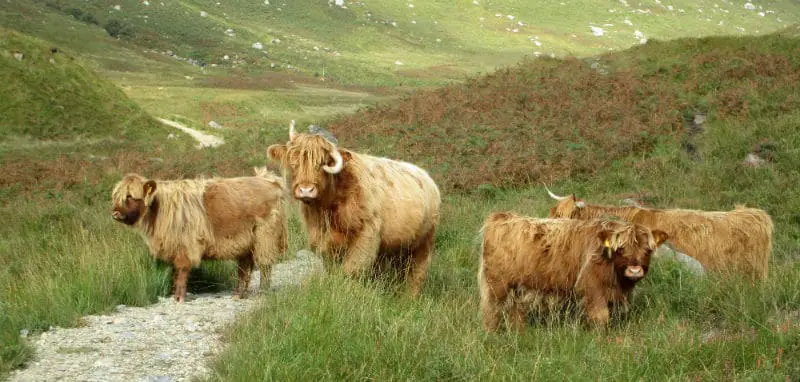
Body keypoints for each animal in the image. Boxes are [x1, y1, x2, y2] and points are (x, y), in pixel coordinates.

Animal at [110, 167, 288, 302]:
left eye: (130, 196)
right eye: (116, 197)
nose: (115, 213)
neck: (159, 209)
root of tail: (269, 180)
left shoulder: (186, 246)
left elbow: (181, 271)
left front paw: (179, 298)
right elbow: (176, 272)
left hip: (265, 237)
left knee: (265, 265)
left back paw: (263, 291)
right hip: (246, 242)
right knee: (244, 268)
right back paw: (238, 294)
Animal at [268, 120, 444, 296]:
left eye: (323, 163)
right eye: (294, 162)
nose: (306, 190)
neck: (327, 209)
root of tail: (426, 176)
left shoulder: (366, 235)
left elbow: (351, 270)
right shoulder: (321, 238)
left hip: (425, 241)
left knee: (417, 271)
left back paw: (410, 297)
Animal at [478, 212, 664, 332]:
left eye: (648, 250)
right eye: (621, 249)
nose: (635, 270)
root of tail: (501, 217)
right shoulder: (592, 288)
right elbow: (601, 316)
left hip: (517, 287)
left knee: (515, 310)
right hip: (497, 286)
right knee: (491, 311)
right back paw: (492, 335)